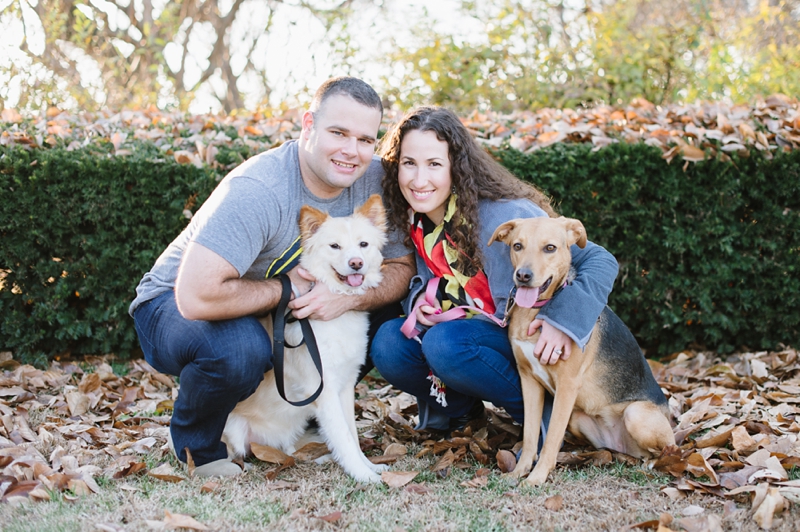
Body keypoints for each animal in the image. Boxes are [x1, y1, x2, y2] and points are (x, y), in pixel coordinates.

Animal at [223, 194, 390, 482]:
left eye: (363, 244)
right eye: (334, 246)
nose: (356, 263)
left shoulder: (346, 386)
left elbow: (352, 434)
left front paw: (368, 466)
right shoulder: (324, 390)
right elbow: (345, 437)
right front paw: (363, 475)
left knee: (289, 449)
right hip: (233, 428)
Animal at [488, 216, 676, 486]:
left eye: (550, 248)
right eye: (517, 246)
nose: (523, 276)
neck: (536, 311)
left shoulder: (567, 386)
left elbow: (551, 438)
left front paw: (536, 478)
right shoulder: (528, 381)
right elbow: (531, 435)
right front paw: (518, 472)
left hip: (636, 414)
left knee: (669, 449)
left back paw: (655, 463)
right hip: (578, 419)